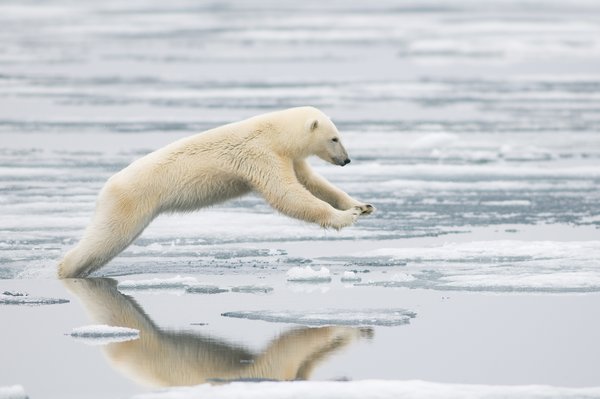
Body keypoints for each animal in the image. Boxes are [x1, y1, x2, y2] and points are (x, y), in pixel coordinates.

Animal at [57, 108, 376, 280]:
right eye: (335, 138)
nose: (346, 160)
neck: (274, 133)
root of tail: (106, 187)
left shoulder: (288, 157)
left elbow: (313, 182)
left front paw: (362, 205)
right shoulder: (259, 154)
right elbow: (287, 194)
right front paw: (345, 217)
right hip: (129, 201)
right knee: (105, 238)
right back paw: (64, 268)